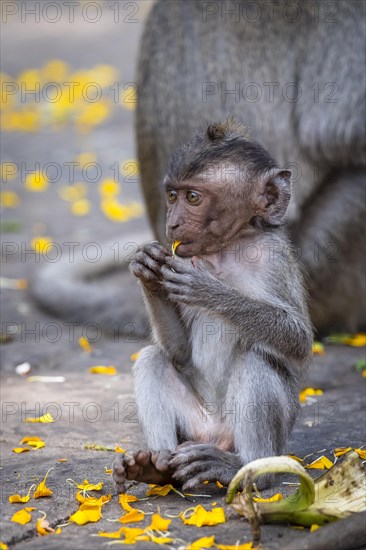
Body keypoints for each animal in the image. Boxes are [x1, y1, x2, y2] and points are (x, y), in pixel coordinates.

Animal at [113, 118, 314, 494]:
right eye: (172, 195)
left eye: (193, 198)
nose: (172, 223)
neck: (226, 248)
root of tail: (215, 435)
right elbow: (179, 353)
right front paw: (148, 270)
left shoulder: (275, 259)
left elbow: (298, 340)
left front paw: (208, 290)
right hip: (194, 427)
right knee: (152, 358)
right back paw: (154, 467)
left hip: (268, 438)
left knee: (255, 359)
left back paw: (244, 467)